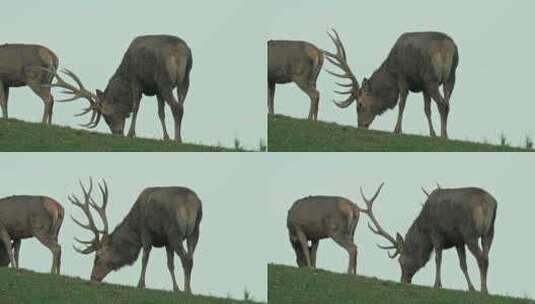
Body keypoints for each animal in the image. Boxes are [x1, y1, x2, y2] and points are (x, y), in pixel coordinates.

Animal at [45, 35, 193, 142]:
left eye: (106, 116)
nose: (117, 132)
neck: (125, 77)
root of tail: (180, 51)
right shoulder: (156, 90)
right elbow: (160, 113)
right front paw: (165, 137)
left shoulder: (136, 81)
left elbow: (135, 107)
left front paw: (130, 133)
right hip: (185, 80)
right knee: (181, 106)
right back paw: (179, 138)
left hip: (164, 80)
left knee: (176, 107)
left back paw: (177, 139)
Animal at [70, 179, 203, 294]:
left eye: (97, 257)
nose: (92, 277)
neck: (135, 229)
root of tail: (190, 203)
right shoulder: (166, 242)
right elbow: (170, 264)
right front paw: (176, 288)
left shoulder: (146, 233)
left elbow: (144, 259)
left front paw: (140, 284)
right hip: (195, 230)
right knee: (191, 258)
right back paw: (189, 290)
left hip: (174, 231)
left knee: (185, 258)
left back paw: (187, 290)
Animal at [324, 29, 458, 138]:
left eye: (360, 104)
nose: (361, 125)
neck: (390, 73)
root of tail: (446, 47)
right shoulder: (423, 87)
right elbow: (427, 109)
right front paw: (432, 134)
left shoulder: (402, 78)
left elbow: (401, 104)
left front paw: (397, 130)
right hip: (451, 77)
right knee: (447, 103)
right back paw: (446, 134)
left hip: (431, 78)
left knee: (442, 104)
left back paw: (443, 135)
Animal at [362, 183, 500, 294]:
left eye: (400, 261)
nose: (403, 281)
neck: (424, 233)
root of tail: (486, 203)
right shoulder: (458, 241)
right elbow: (463, 264)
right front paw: (471, 288)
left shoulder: (436, 235)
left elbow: (438, 260)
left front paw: (437, 285)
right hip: (489, 231)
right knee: (486, 256)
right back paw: (486, 289)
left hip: (470, 233)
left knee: (481, 258)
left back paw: (483, 290)